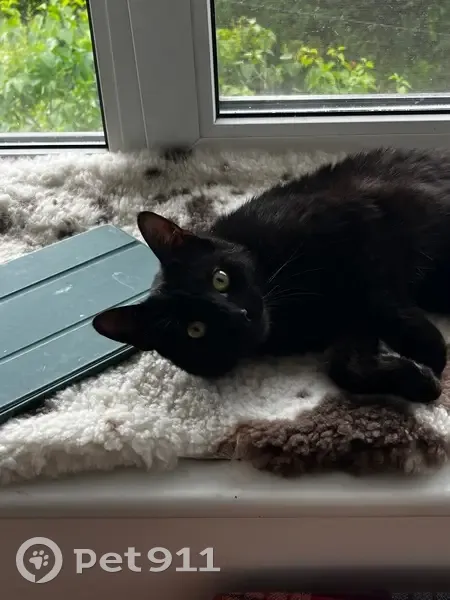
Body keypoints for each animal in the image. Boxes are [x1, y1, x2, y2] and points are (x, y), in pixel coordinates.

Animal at [92, 147, 450, 404]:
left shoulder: (361, 226)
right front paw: (417, 379)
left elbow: (382, 300)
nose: (242, 314)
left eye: (220, 278)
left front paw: (431, 353)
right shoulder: (346, 324)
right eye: (194, 330)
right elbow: (342, 367)